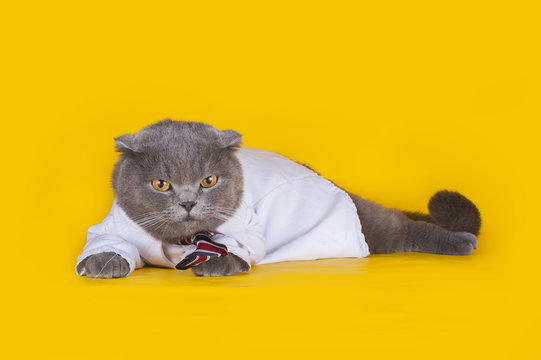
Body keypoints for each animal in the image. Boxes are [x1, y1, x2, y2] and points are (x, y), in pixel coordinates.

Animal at [74, 119, 478, 278]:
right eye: (161, 184)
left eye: (208, 180)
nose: (188, 202)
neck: (183, 241)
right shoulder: (118, 223)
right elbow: (103, 240)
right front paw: (103, 262)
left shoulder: (246, 227)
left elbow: (236, 245)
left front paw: (217, 262)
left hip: (367, 225)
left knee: (402, 227)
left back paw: (462, 242)